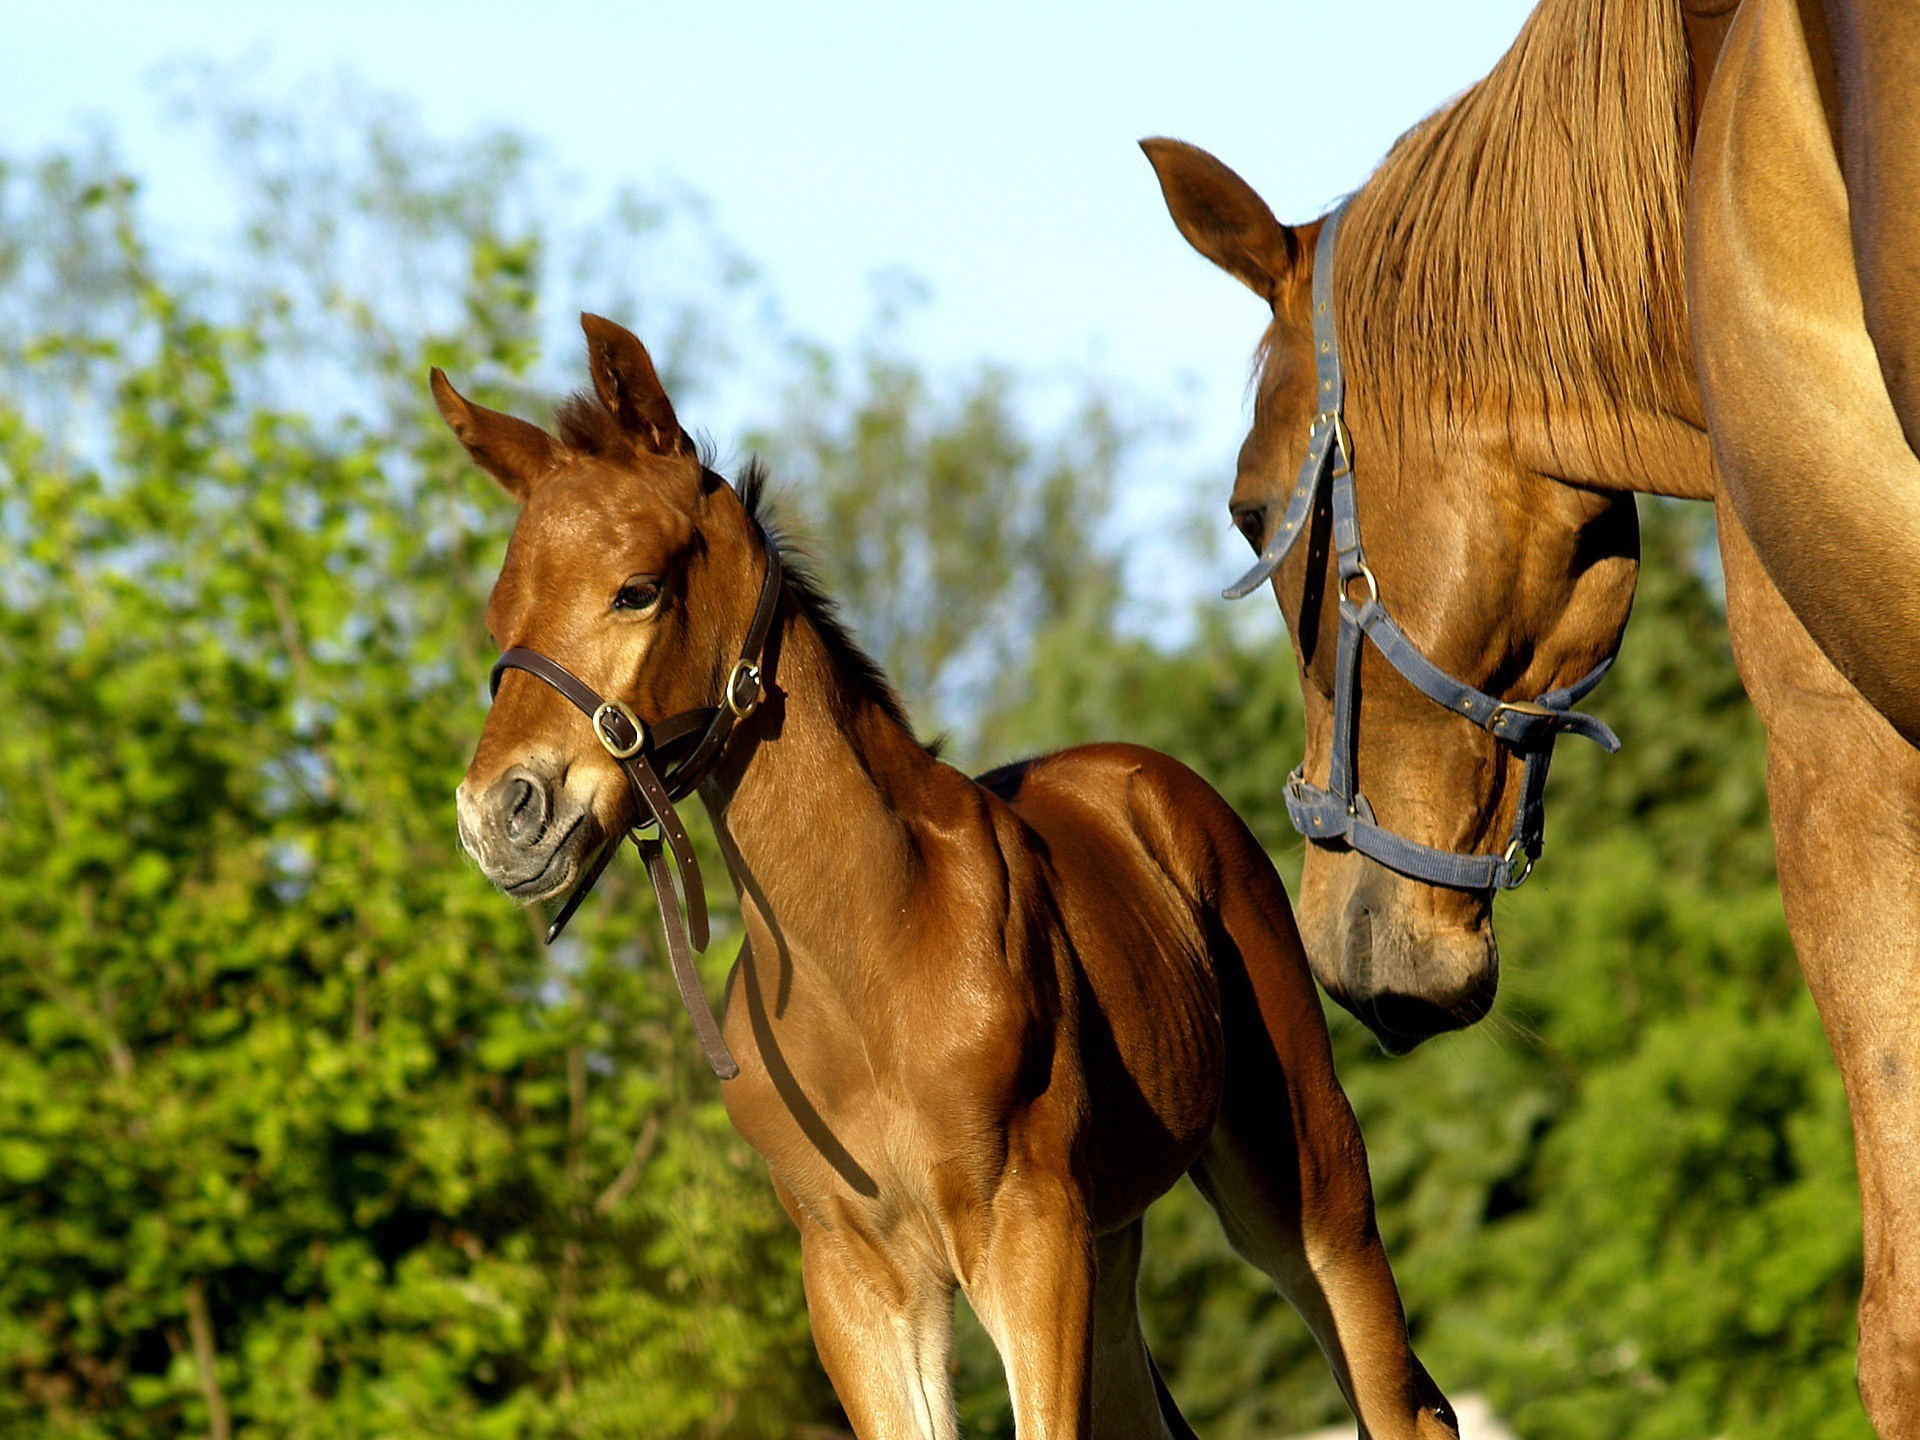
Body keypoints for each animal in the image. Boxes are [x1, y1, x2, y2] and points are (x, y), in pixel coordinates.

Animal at [435, 314, 1451, 1440]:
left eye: (637, 588)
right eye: (500, 618)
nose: (499, 814)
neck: (867, 955)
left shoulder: (1027, 1230)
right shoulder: (855, 1273)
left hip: (1302, 1175)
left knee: (1402, 1400)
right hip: (1113, 1237)